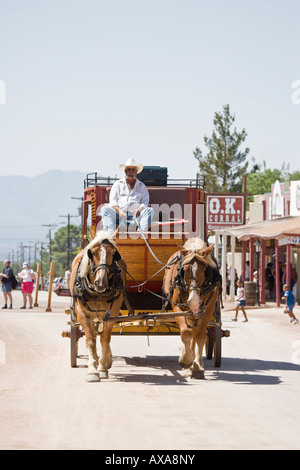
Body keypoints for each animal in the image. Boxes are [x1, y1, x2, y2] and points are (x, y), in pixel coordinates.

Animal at [69, 231, 125, 382]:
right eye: (92, 253)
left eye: (113, 253)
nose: (101, 283)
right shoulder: (83, 314)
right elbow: (90, 341)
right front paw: (92, 370)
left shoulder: (112, 314)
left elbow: (105, 339)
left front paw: (102, 367)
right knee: (93, 335)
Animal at [163, 239, 221, 378]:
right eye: (184, 269)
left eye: (205, 269)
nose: (194, 301)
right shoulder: (178, 307)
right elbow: (185, 333)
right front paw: (186, 359)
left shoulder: (208, 309)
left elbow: (200, 336)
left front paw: (197, 366)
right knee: (190, 331)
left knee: (195, 333)